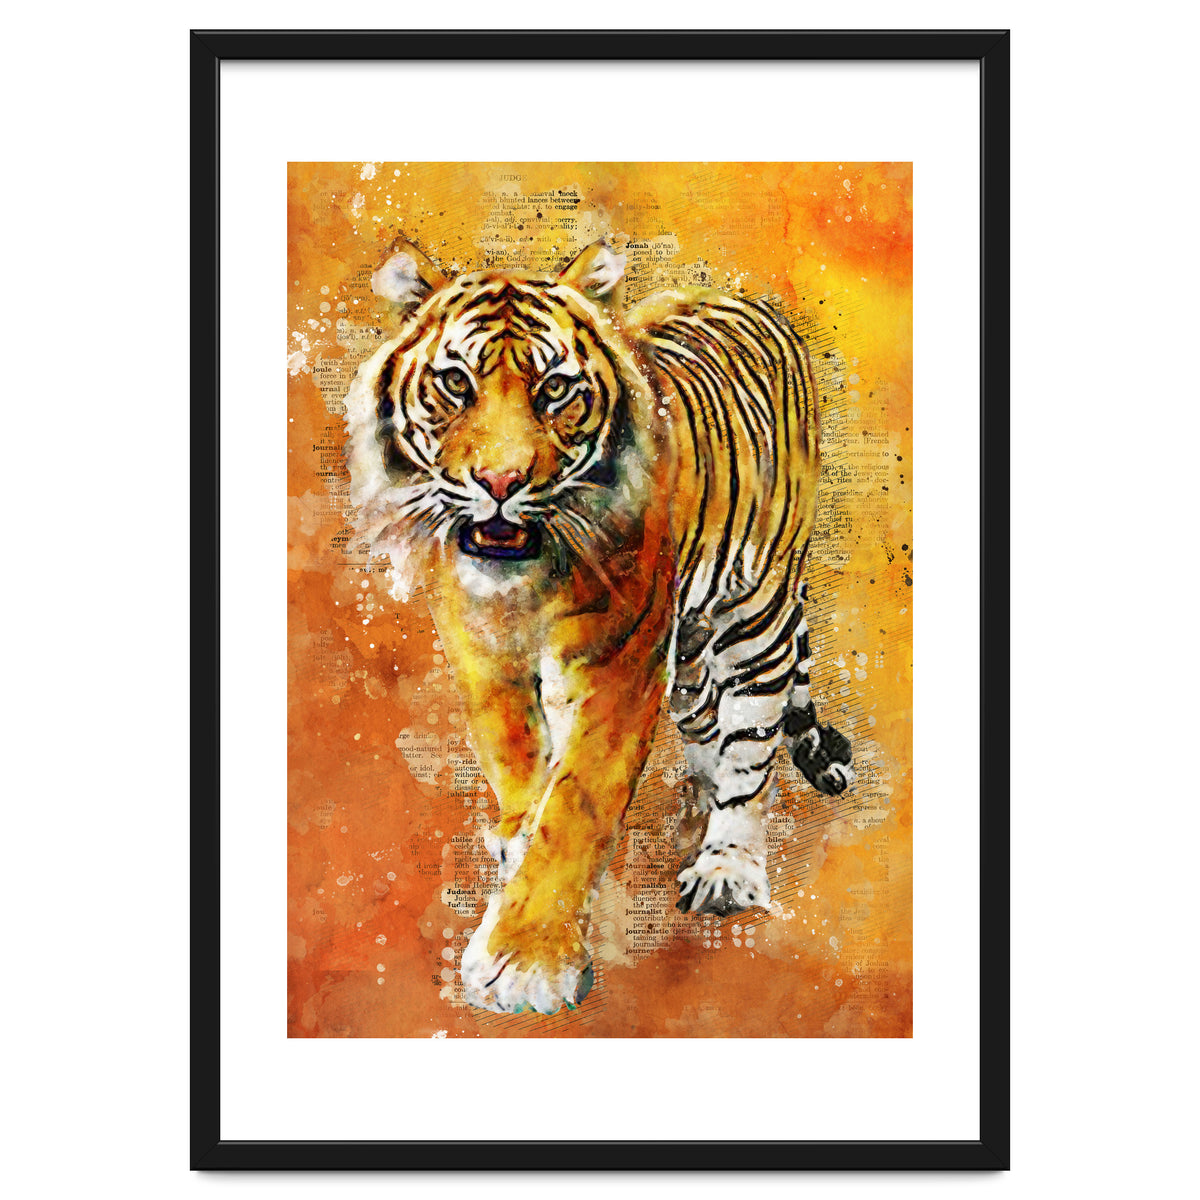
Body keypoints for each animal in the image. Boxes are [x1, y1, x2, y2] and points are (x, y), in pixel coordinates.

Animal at [342, 233, 854, 1015]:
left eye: (555, 389)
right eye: (455, 383)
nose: (500, 483)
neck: (523, 585)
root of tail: (742, 297)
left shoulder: (619, 663)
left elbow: (577, 804)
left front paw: (526, 960)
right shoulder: (481, 649)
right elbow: (517, 760)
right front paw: (516, 842)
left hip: (755, 608)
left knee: (752, 742)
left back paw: (727, 864)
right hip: (693, 646)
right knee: (706, 722)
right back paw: (696, 801)